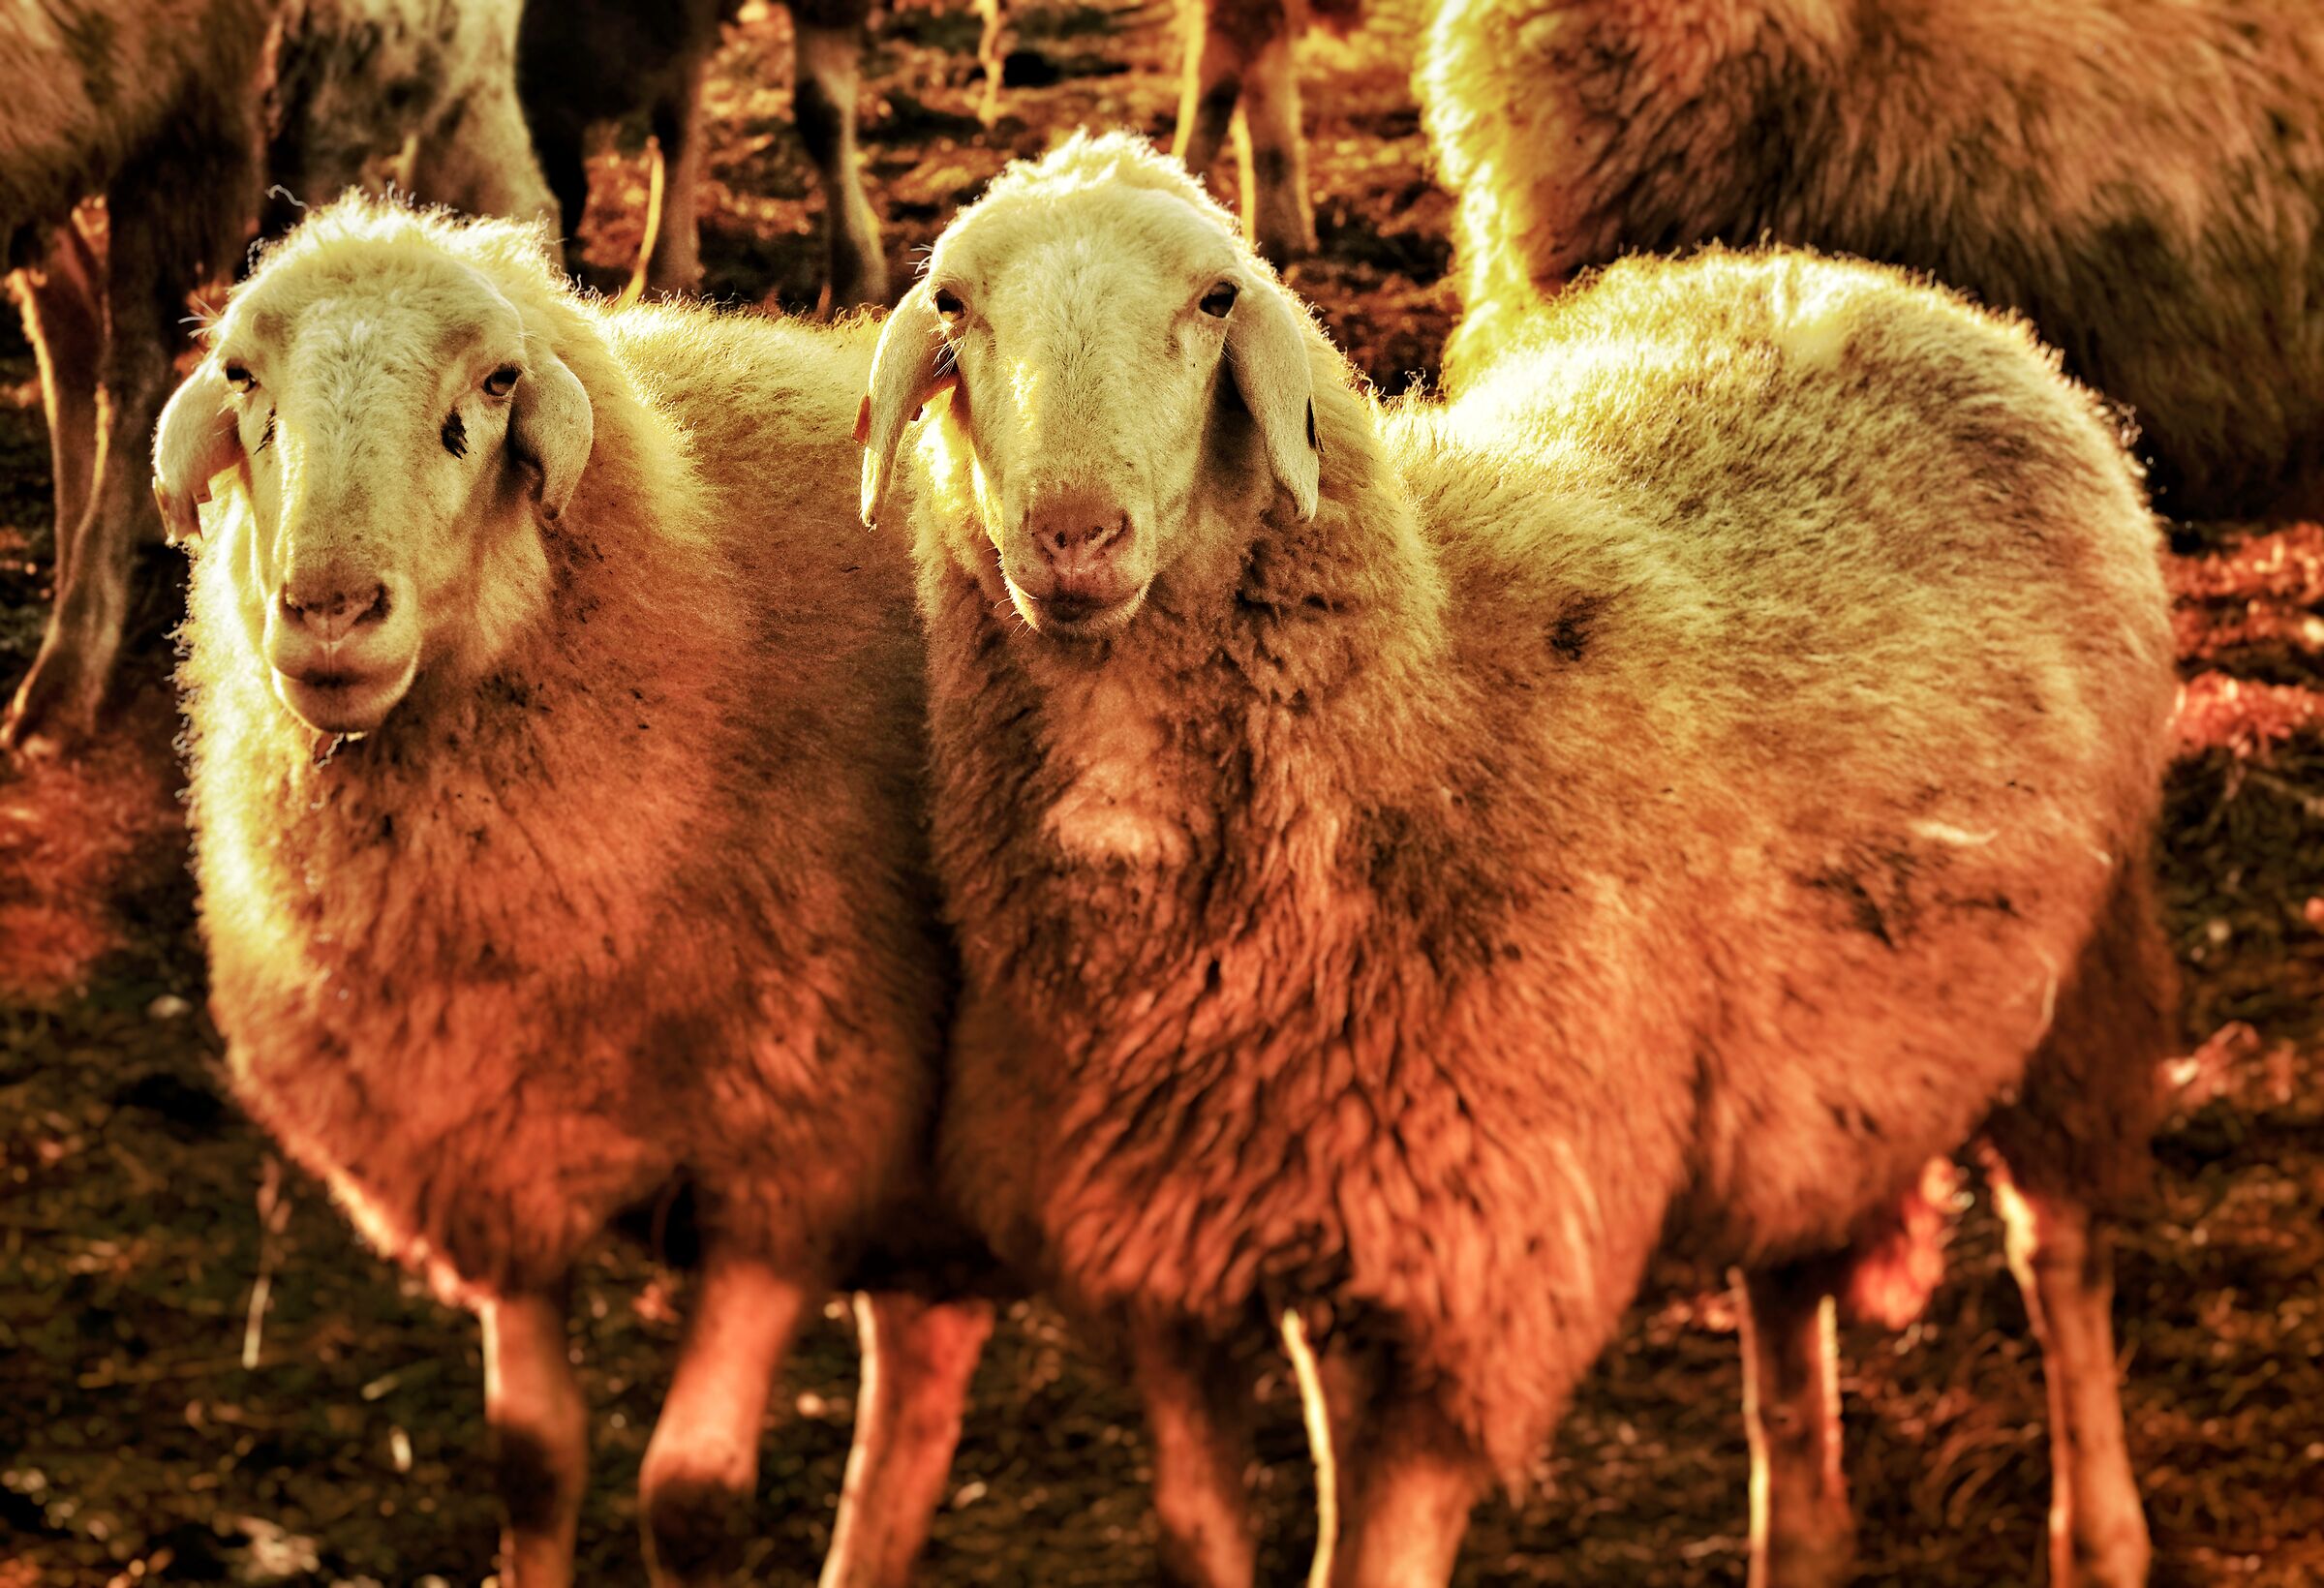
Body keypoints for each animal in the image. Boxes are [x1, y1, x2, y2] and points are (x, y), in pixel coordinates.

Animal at [154, 195, 991, 1587]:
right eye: (242, 377)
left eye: (494, 385)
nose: (328, 611)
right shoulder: (495, 1159)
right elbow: (532, 1459)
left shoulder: (796, 1149)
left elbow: (690, 1501)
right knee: (923, 1364)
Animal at [860, 132, 2178, 1588]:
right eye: (957, 306)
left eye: (1214, 300)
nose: (1073, 535)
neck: (1433, 693)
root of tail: (1880, 286)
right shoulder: (1189, 1263)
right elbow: (1210, 1530)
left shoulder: (1471, 1286)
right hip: (1810, 1058)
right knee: (1787, 1279)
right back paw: (1801, 1531)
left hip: (2080, 963)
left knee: (2059, 1252)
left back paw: (2100, 1531)